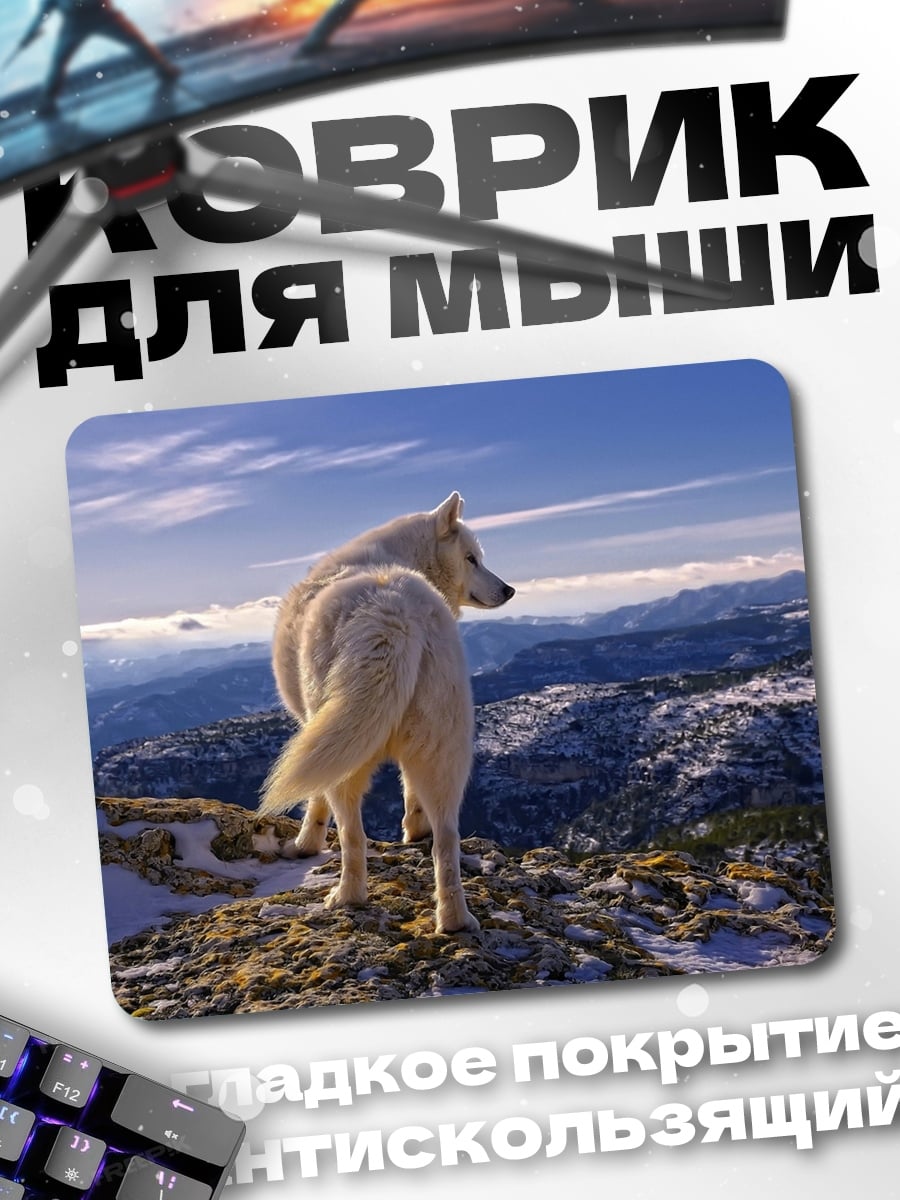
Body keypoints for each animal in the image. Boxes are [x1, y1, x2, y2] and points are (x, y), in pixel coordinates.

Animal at [259, 492, 515, 933]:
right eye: (472, 559)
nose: (509, 589)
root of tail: (394, 613)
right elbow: (410, 795)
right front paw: (414, 831)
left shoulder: (315, 728)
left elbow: (315, 803)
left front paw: (305, 845)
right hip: (444, 751)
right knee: (447, 839)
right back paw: (454, 920)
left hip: (348, 755)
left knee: (353, 836)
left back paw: (346, 897)